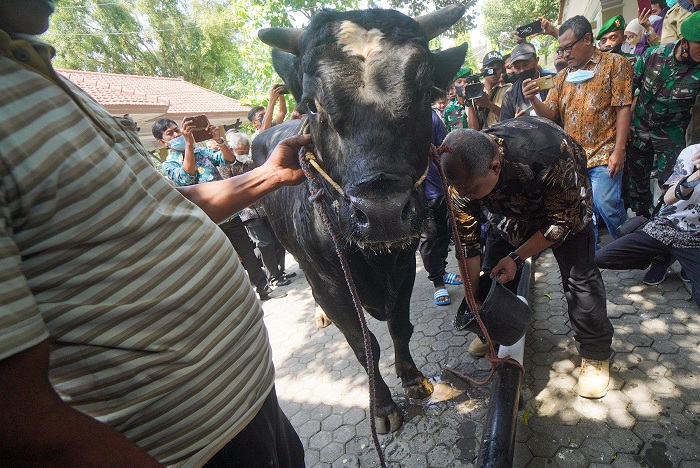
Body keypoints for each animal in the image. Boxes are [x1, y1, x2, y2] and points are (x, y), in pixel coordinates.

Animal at [254, 5, 468, 434]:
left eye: (425, 93)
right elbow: (363, 343)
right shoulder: (332, 286)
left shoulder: (403, 266)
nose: (382, 213)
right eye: (312, 104)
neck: (373, 260)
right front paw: (382, 407)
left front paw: (413, 379)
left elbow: (399, 327)